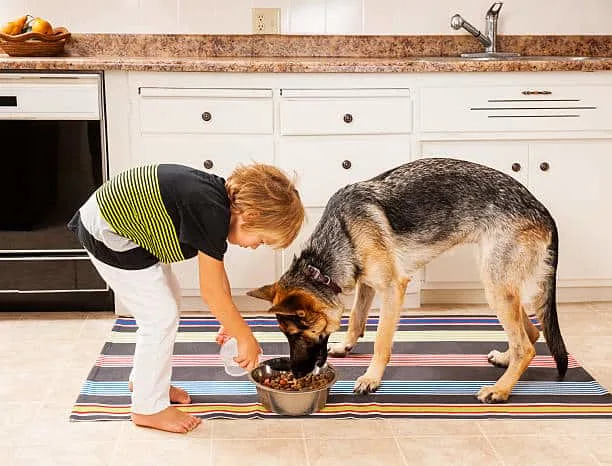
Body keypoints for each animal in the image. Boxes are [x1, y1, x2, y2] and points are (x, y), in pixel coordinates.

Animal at [249, 158, 568, 402]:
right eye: (286, 335)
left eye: (297, 334)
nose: (296, 374)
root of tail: (542, 209)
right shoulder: (366, 284)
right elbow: (355, 320)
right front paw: (346, 346)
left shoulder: (392, 288)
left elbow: (381, 340)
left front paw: (371, 378)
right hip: (498, 285)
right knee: (531, 332)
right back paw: (504, 360)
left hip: (496, 287)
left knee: (526, 347)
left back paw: (500, 390)